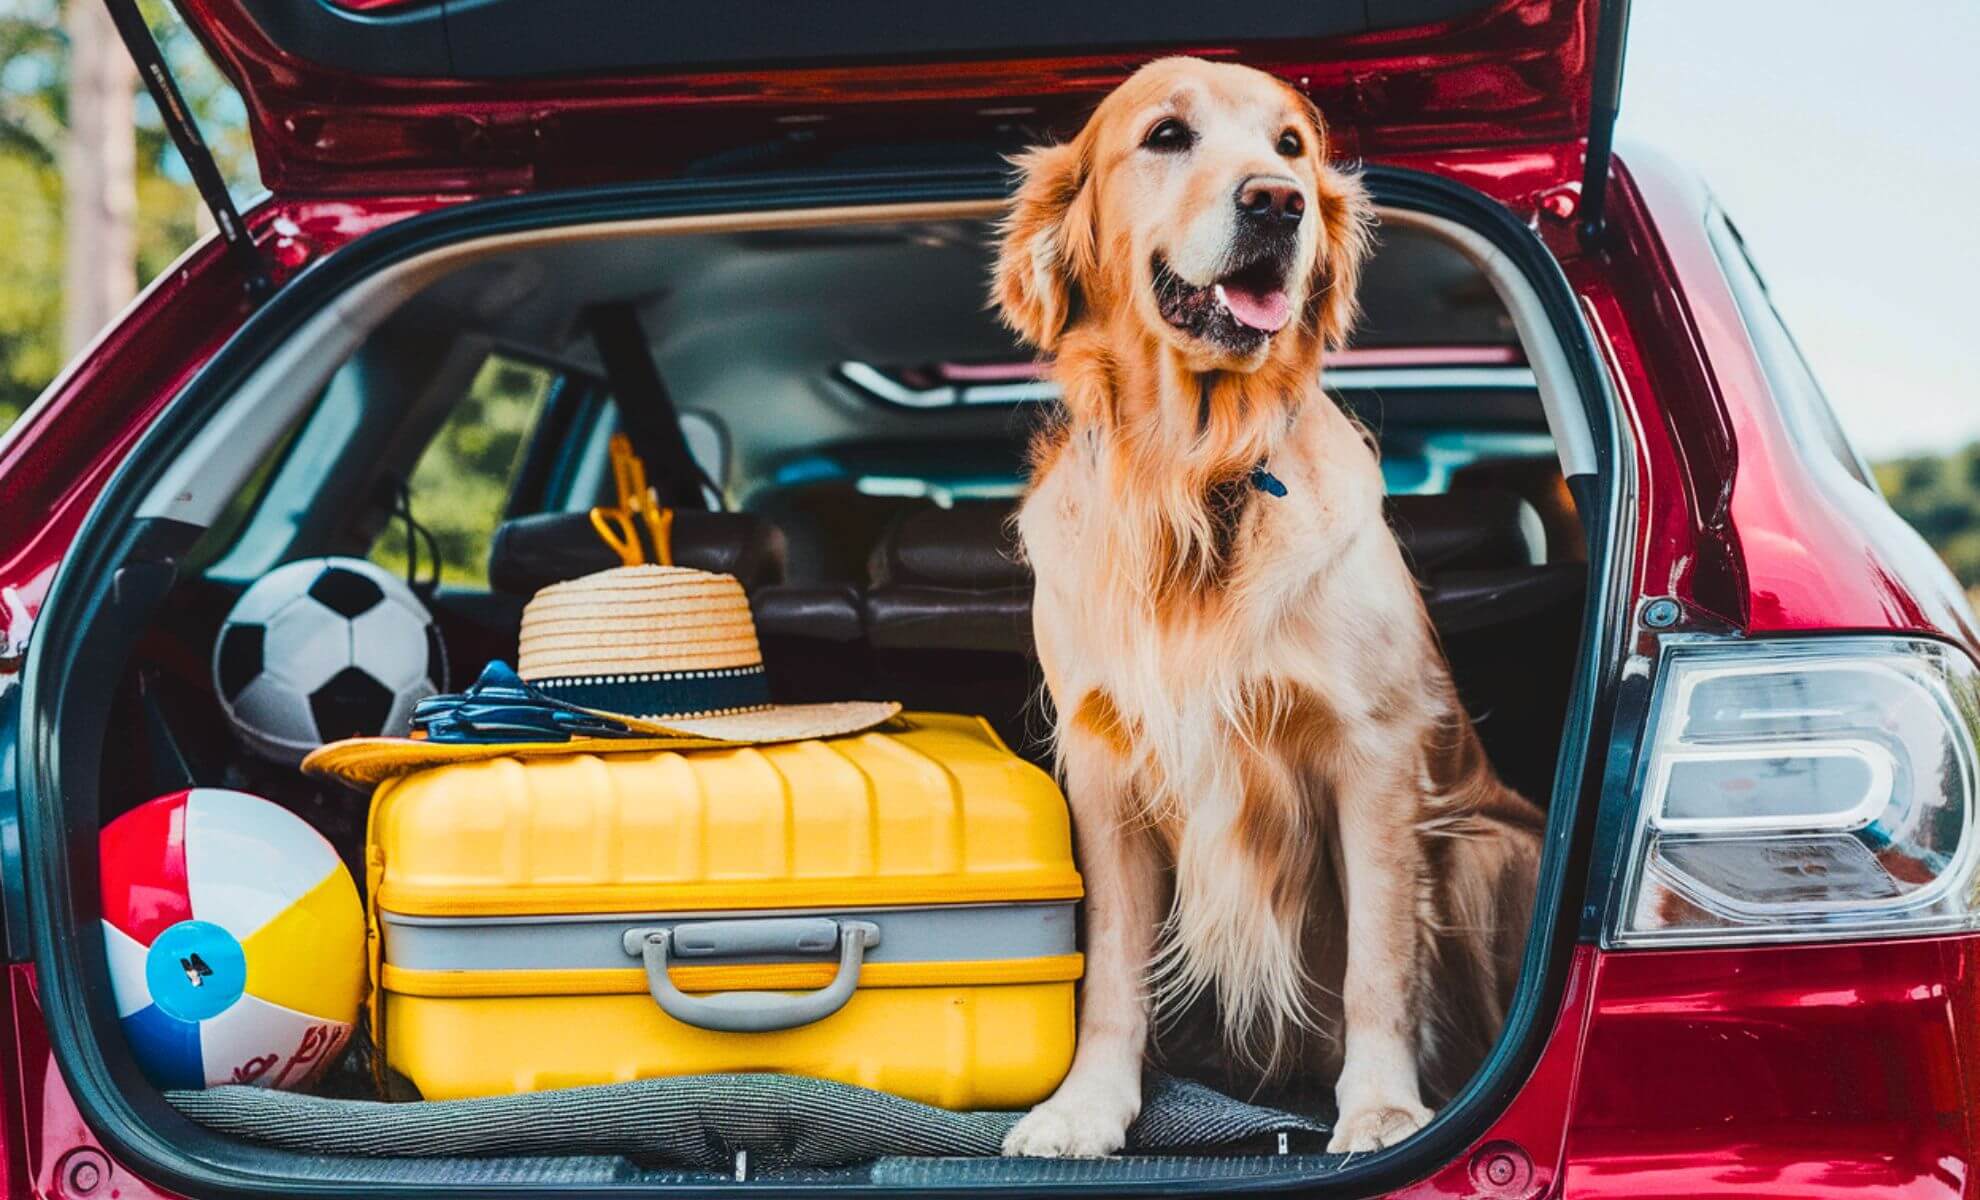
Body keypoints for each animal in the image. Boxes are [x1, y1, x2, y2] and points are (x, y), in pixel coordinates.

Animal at [997, 61, 1536, 1164]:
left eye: (1291, 146)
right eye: (1167, 135)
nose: (1277, 204)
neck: (1199, 476)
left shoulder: (1373, 756)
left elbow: (1380, 958)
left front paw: (1381, 1110)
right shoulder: (1104, 765)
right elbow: (1110, 966)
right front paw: (1086, 1108)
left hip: (1483, 849)